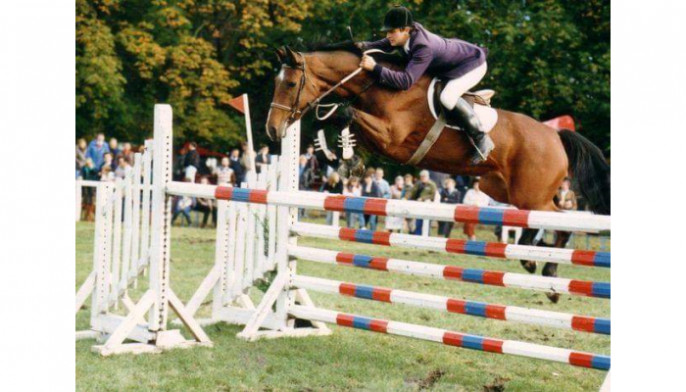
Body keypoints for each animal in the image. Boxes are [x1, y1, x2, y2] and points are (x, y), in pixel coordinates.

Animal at [264, 43, 612, 304]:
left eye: (290, 84)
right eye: (276, 83)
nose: (273, 130)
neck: (380, 85)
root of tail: (555, 135)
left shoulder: (392, 138)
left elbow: (346, 113)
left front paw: (339, 153)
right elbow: (345, 122)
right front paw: (343, 158)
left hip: (531, 193)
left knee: (562, 217)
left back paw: (546, 271)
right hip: (501, 188)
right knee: (544, 218)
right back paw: (535, 259)